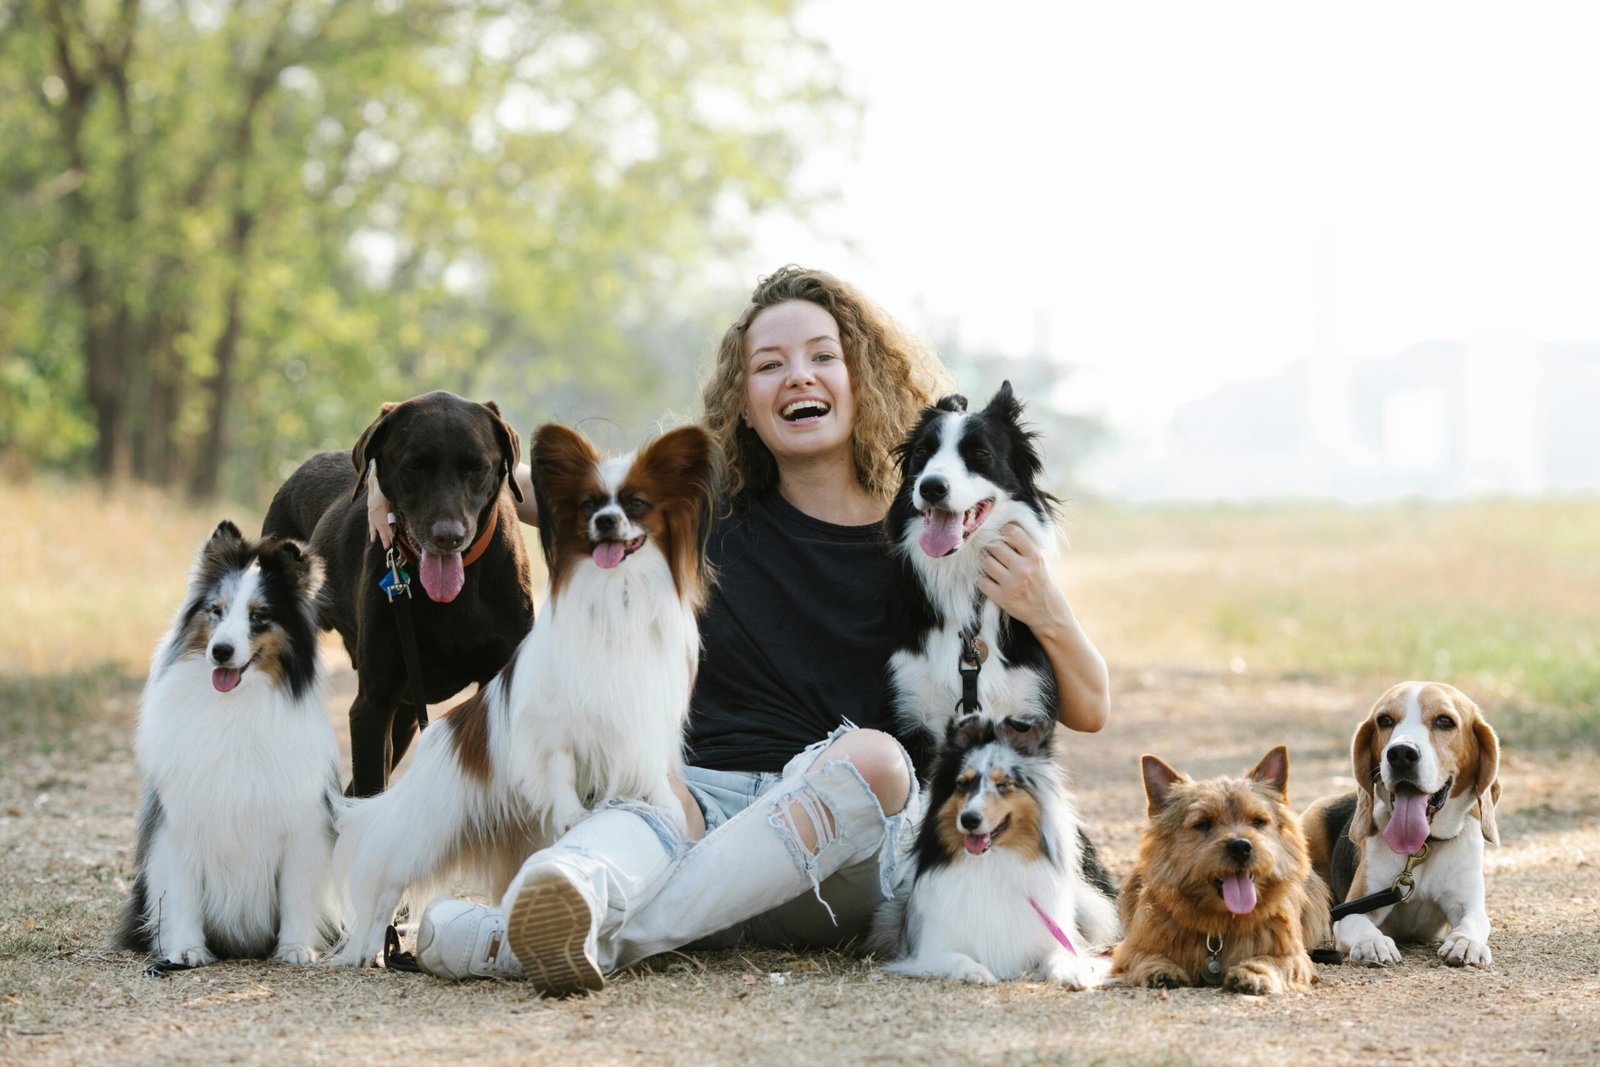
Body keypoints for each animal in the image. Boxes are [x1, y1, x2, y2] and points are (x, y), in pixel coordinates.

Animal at [112, 524, 340, 979]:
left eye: (259, 616)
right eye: (216, 610)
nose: (220, 652)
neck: (235, 705)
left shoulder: (301, 824)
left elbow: (297, 891)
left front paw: (295, 948)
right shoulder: (179, 824)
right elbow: (182, 893)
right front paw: (186, 950)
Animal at [328, 422, 716, 966]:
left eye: (637, 504)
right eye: (589, 504)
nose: (605, 522)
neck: (617, 595)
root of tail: (438, 734)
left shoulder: (643, 714)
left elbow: (648, 768)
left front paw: (664, 806)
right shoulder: (551, 726)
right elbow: (561, 769)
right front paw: (574, 814)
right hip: (428, 832)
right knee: (384, 881)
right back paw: (368, 949)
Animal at [870, 713, 1120, 991]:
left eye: (1004, 784)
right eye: (962, 784)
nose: (969, 819)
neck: (992, 862)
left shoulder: (1050, 937)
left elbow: (1060, 955)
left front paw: (1073, 973)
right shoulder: (930, 951)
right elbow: (958, 958)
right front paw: (977, 972)